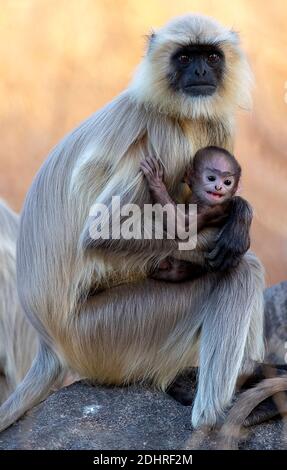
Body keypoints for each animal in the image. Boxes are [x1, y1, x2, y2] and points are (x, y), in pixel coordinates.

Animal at [142, 145, 252, 280]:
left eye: (227, 182)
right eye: (211, 178)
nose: (218, 187)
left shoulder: (213, 208)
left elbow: (182, 228)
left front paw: (156, 183)